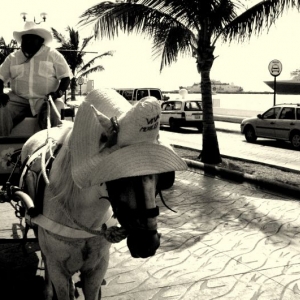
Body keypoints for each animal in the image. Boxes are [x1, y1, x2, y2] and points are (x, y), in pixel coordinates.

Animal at [16, 88, 186, 298]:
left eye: (163, 177)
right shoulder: (58, 268)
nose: (147, 244)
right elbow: (56, 276)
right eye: (118, 176)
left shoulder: (97, 269)